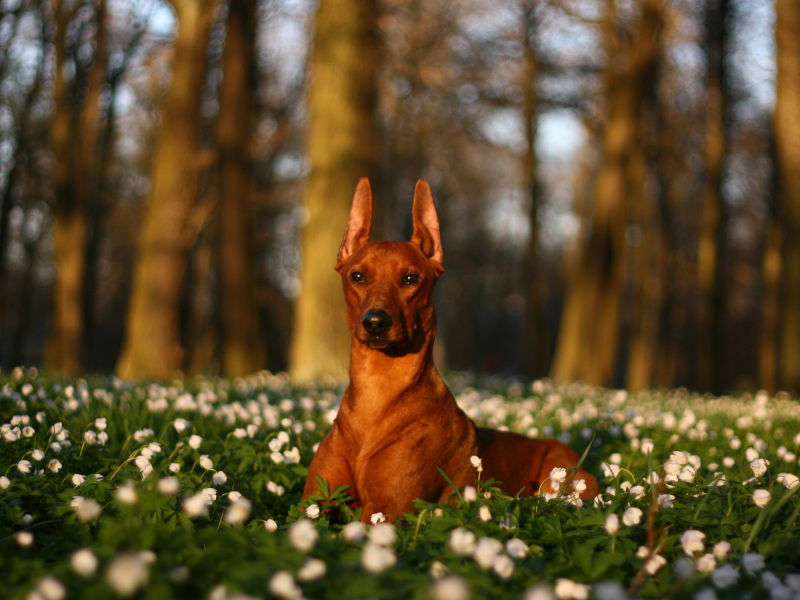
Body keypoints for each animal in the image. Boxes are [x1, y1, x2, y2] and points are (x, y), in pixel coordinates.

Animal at [304, 177, 596, 520]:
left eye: (410, 278)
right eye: (358, 276)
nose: (375, 322)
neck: (377, 389)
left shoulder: (385, 510)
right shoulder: (312, 503)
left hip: (559, 481)